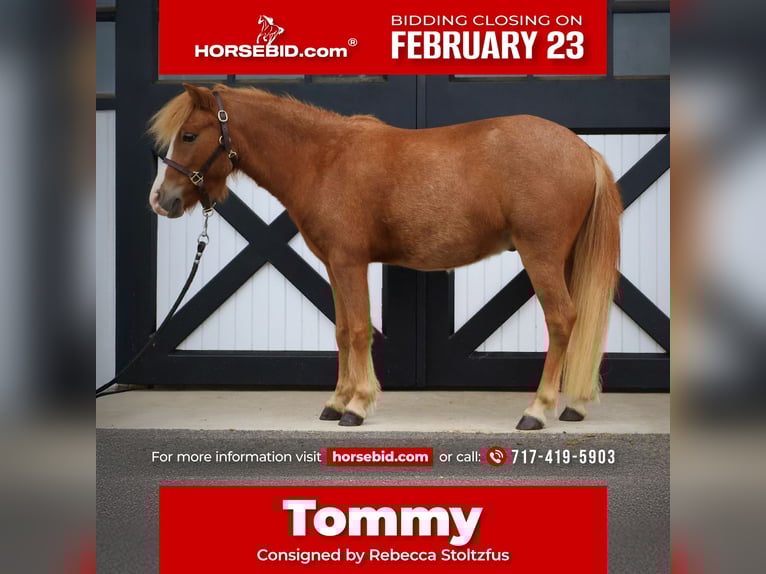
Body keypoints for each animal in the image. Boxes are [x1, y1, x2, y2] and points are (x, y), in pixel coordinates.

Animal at [148, 84, 622, 430]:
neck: (324, 158)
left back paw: (537, 410)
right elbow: (341, 331)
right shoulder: (333, 266)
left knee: (560, 320)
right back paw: (574, 405)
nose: (160, 200)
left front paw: (357, 405)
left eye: (189, 135)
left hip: (541, 256)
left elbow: (359, 331)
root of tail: (584, 150)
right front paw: (336, 402)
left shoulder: (350, 262)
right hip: (563, 259)